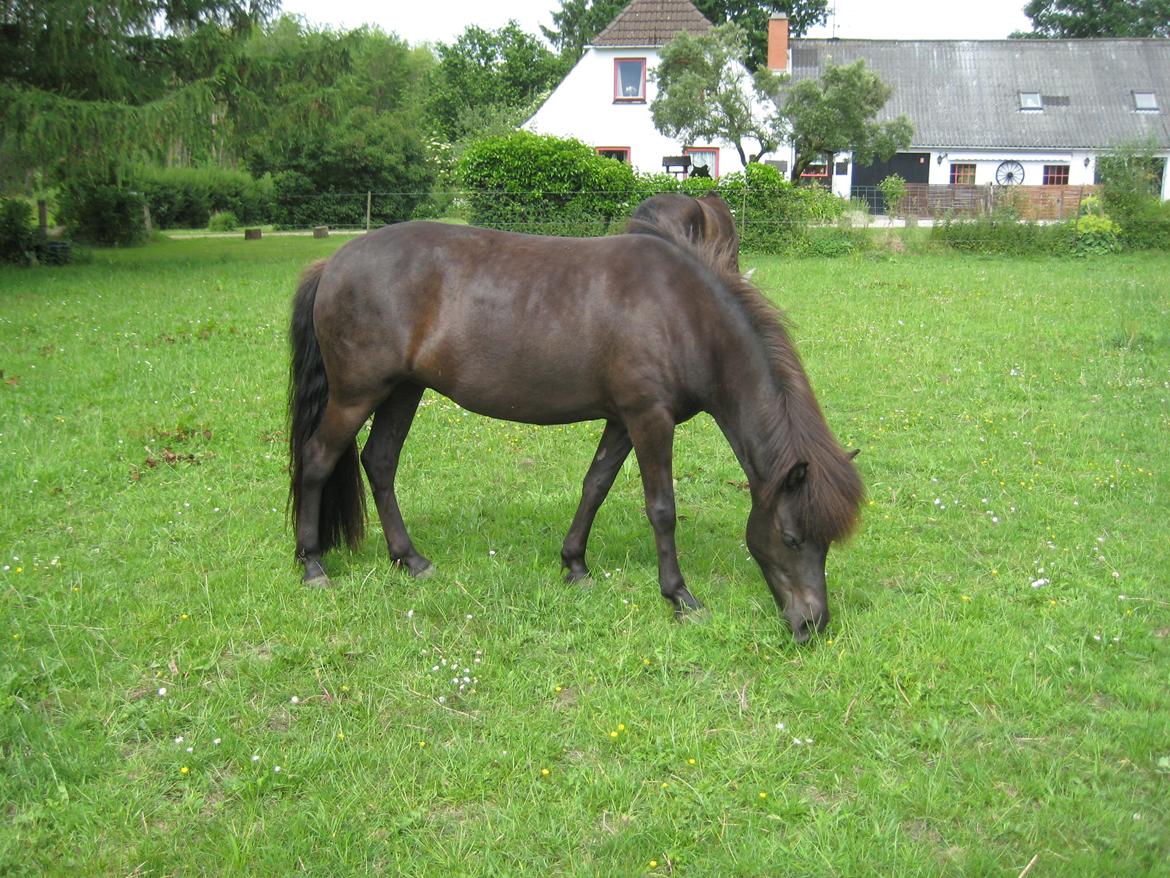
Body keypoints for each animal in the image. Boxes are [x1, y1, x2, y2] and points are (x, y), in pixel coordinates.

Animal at [290, 223, 861, 641]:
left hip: (403, 391)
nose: (812, 625)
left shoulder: (624, 420)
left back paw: (409, 560)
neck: (684, 314)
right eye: (791, 538)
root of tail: (333, 263)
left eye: (827, 544)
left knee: (380, 462)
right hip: (357, 395)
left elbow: (596, 486)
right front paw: (680, 597)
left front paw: (575, 565)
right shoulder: (649, 419)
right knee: (318, 460)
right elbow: (661, 508)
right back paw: (313, 564)